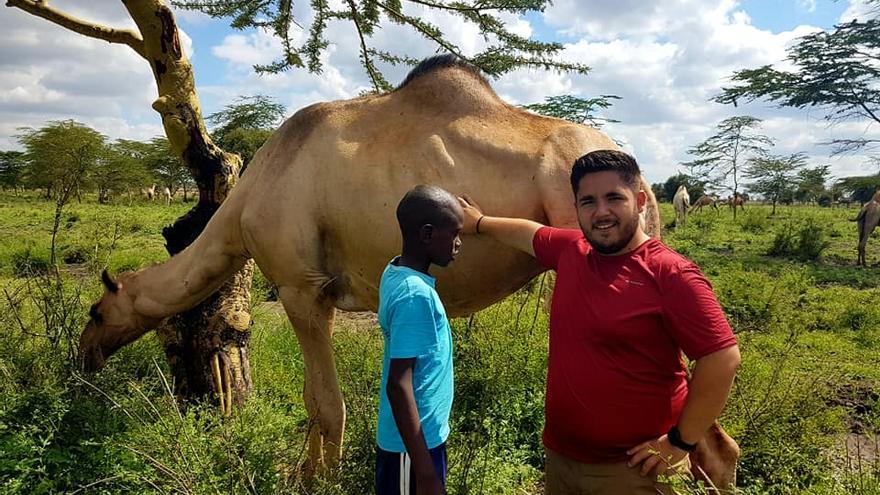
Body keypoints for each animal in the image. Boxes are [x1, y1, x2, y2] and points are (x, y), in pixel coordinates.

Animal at [81, 55, 736, 488]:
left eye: (95, 309)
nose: (83, 357)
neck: (242, 208)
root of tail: (642, 175)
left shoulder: (299, 287)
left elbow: (323, 402)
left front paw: (309, 479)